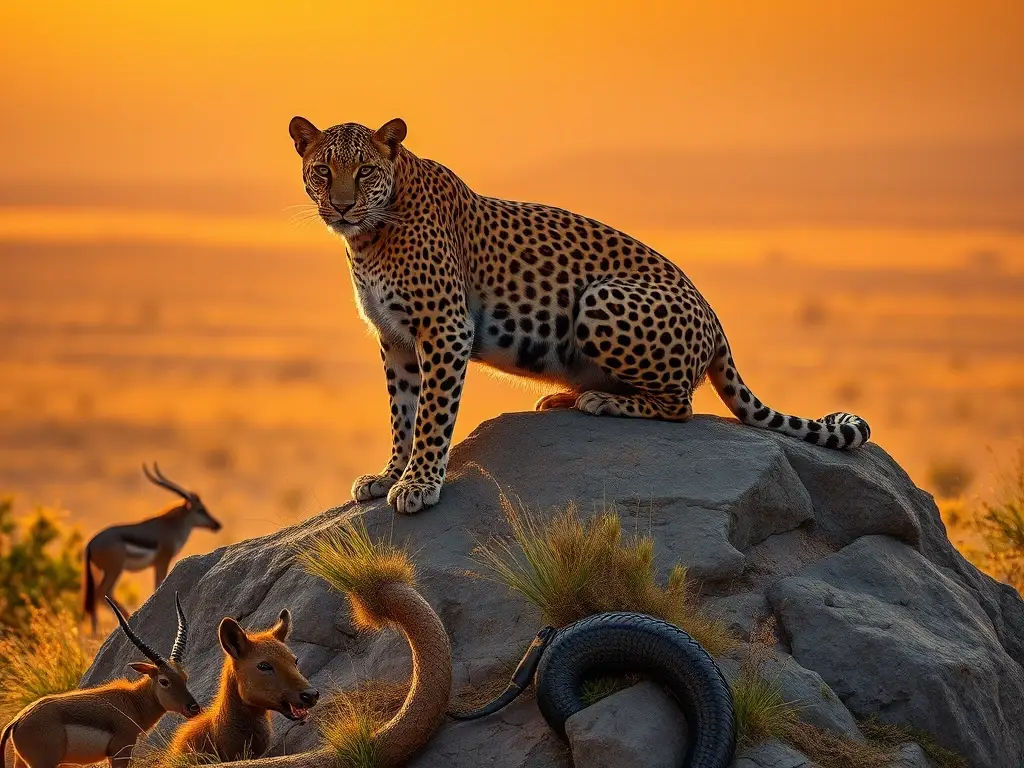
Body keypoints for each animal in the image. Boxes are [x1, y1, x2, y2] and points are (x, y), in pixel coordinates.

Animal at [288, 116, 871, 515]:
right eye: (323, 171)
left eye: (365, 171)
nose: (342, 206)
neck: (368, 238)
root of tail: (716, 320)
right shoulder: (396, 339)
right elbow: (401, 413)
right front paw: (390, 474)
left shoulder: (445, 328)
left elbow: (432, 414)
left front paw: (420, 483)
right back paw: (567, 396)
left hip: (598, 299)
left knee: (680, 405)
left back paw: (600, 400)